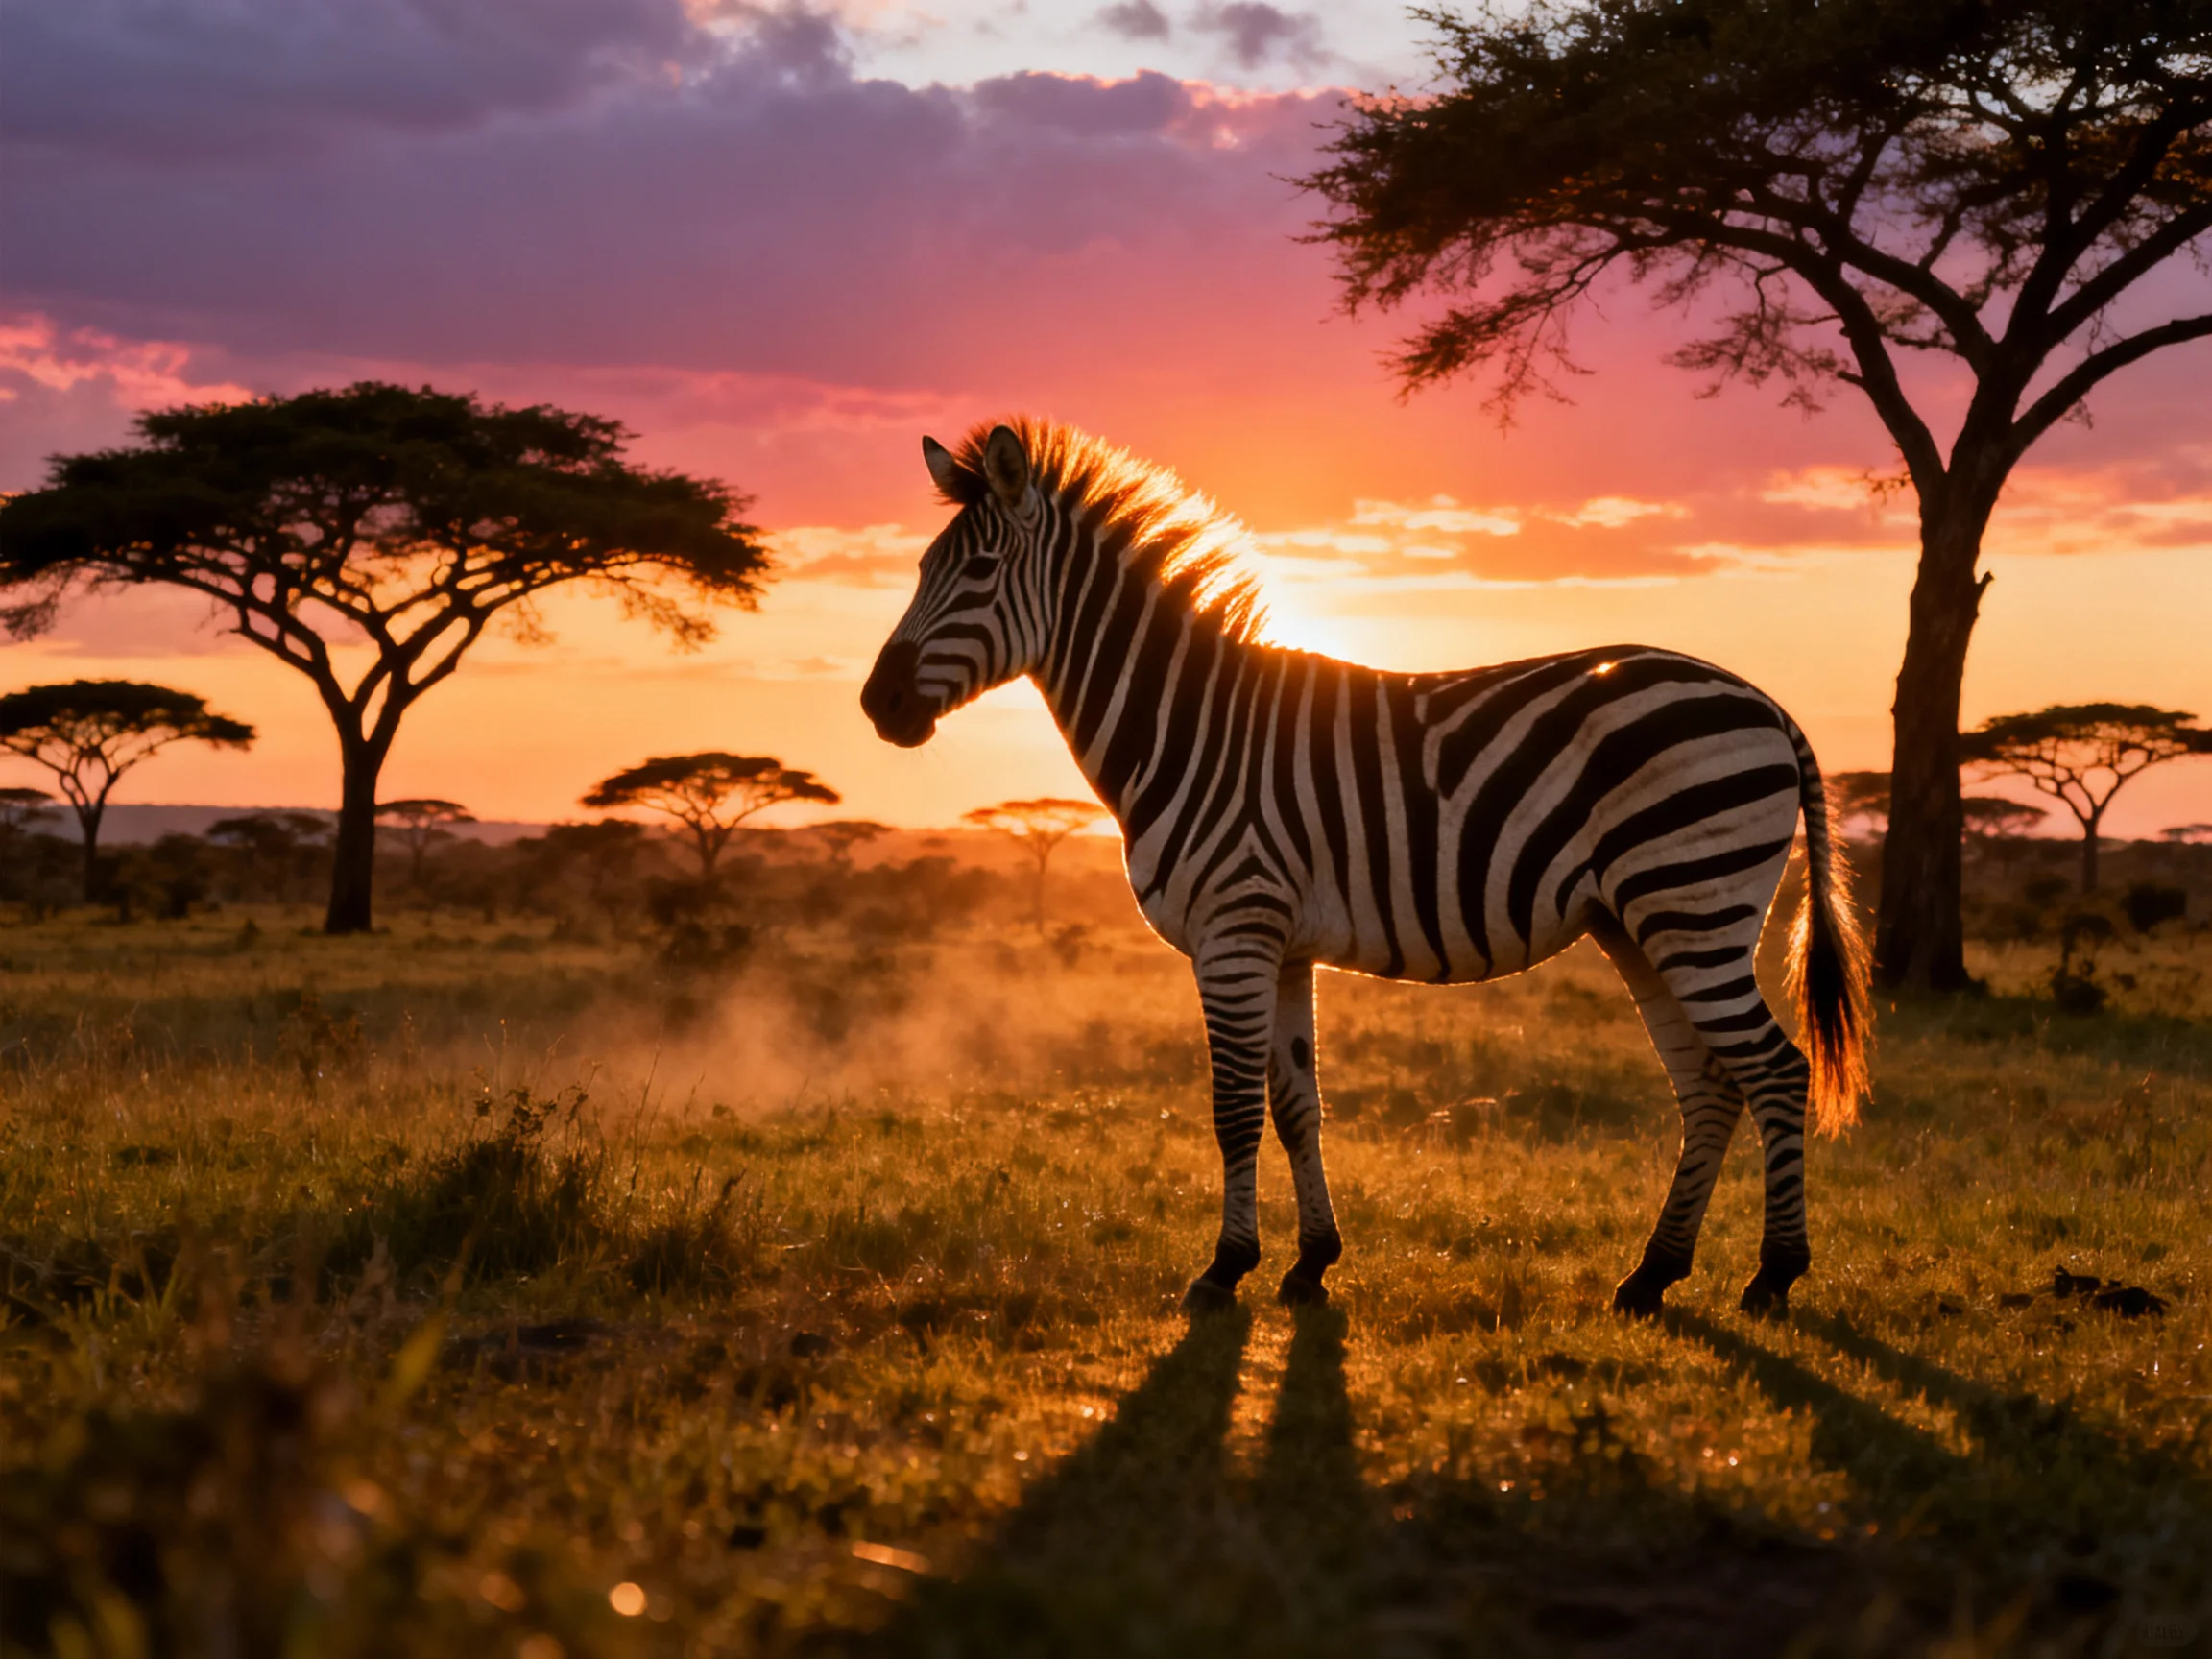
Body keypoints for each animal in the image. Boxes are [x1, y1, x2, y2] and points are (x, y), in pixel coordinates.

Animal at [860, 419, 1870, 1318]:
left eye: (977, 573)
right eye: (917, 573)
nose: (879, 705)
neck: (1185, 729)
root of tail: (1765, 703)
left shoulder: (1234, 929)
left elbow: (1234, 1106)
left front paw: (1224, 1270)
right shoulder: (1281, 943)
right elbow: (1296, 1104)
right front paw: (1310, 1263)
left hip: (1692, 907)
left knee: (1776, 1072)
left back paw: (1774, 1277)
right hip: (1642, 926)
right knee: (1710, 1086)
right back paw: (1651, 1278)